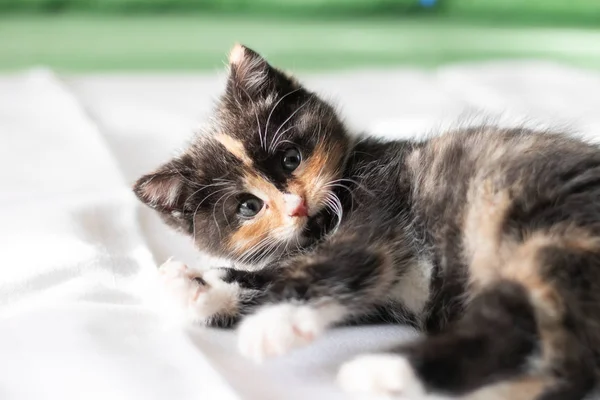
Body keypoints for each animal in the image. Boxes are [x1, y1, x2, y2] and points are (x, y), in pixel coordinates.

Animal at [135, 43, 600, 400]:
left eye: (291, 158)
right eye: (248, 207)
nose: (296, 205)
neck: (318, 227)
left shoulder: (380, 212)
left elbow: (334, 263)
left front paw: (276, 320)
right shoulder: (378, 292)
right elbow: (309, 280)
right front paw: (197, 286)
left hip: (548, 231)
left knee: (542, 340)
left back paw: (388, 372)